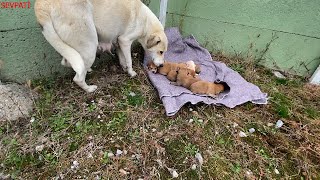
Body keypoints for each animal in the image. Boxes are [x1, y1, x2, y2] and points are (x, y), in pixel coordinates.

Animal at [35, 0, 168, 92]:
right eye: (161, 52)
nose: (162, 65)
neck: (146, 23)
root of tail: (42, 4)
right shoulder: (125, 41)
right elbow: (129, 60)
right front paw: (131, 72)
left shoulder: (118, 42)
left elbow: (122, 59)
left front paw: (124, 68)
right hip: (89, 45)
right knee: (77, 78)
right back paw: (89, 89)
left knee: (69, 62)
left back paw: (87, 69)